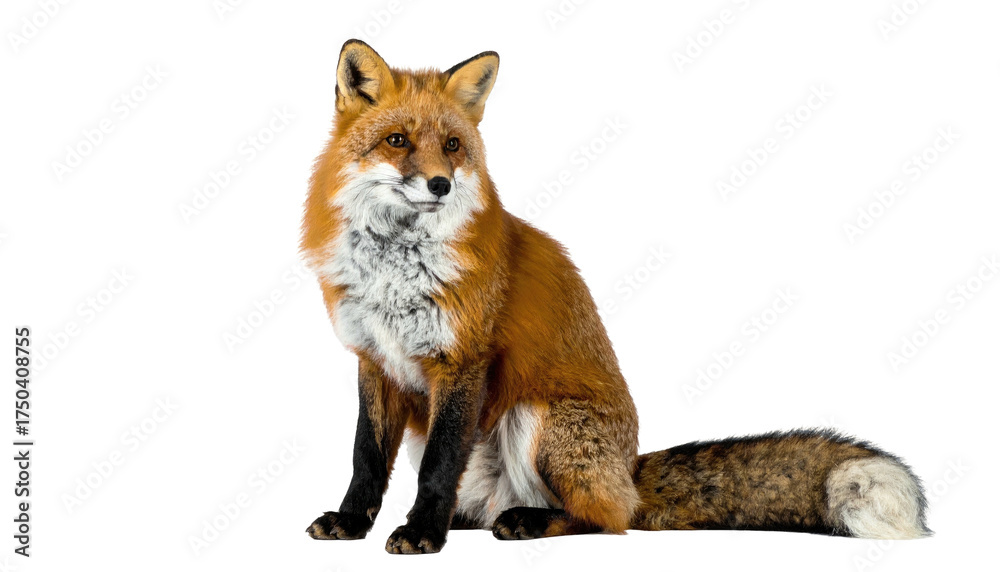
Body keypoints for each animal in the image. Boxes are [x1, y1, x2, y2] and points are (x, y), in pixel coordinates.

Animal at [300, 40, 930, 554]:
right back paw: (471, 518)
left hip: (539, 420)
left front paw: (421, 532)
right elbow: (365, 457)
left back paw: (526, 521)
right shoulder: (374, 359)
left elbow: (437, 466)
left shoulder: (461, 361)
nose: (440, 185)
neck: (395, 269)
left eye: (453, 145)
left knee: (603, 518)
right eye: (398, 141)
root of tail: (628, 468)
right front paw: (354, 522)